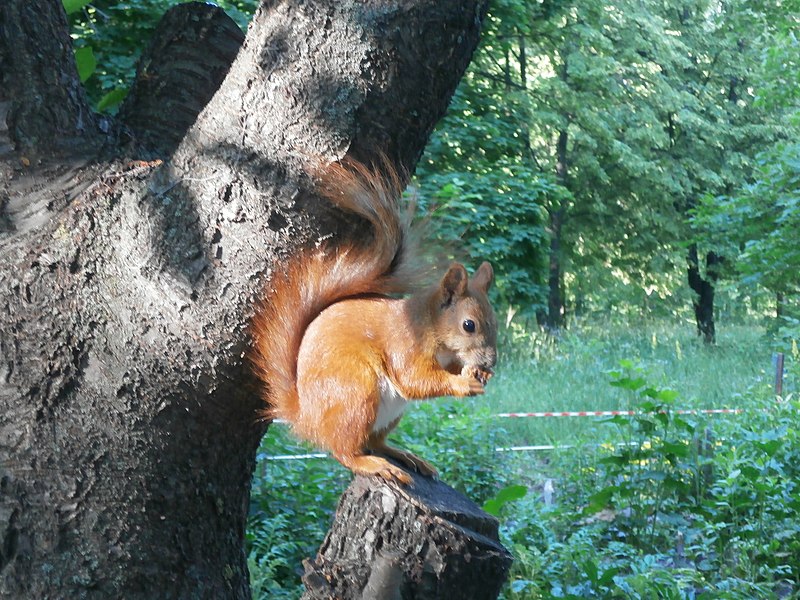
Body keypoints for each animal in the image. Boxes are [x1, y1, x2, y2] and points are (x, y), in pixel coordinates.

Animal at [253, 158, 496, 482]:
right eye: (469, 325)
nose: (491, 362)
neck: (429, 326)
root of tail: (307, 418)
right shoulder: (405, 343)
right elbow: (415, 377)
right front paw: (463, 384)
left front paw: (478, 373)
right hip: (356, 393)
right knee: (345, 450)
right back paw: (373, 464)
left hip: (387, 414)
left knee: (374, 442)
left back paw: (405, 456)